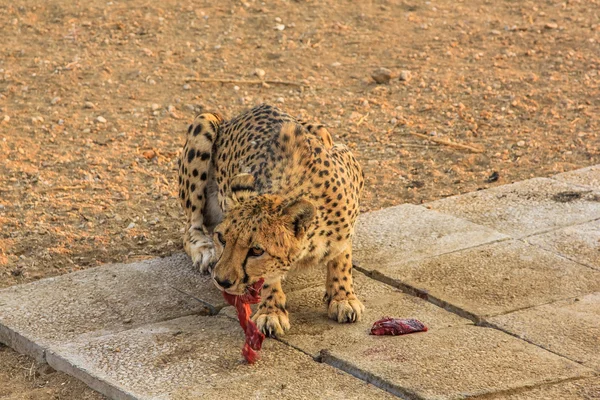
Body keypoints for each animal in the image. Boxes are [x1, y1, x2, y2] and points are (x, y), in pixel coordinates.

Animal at [178, 104, 366, 336]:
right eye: (222, 239)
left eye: (256, 250)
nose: (221, 280)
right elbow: (267, 278)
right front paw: (272, 311)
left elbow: (342, 256)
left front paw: (342, 297)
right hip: (204, 122)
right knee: (190, 228)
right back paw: (203, 249)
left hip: (323, 131)